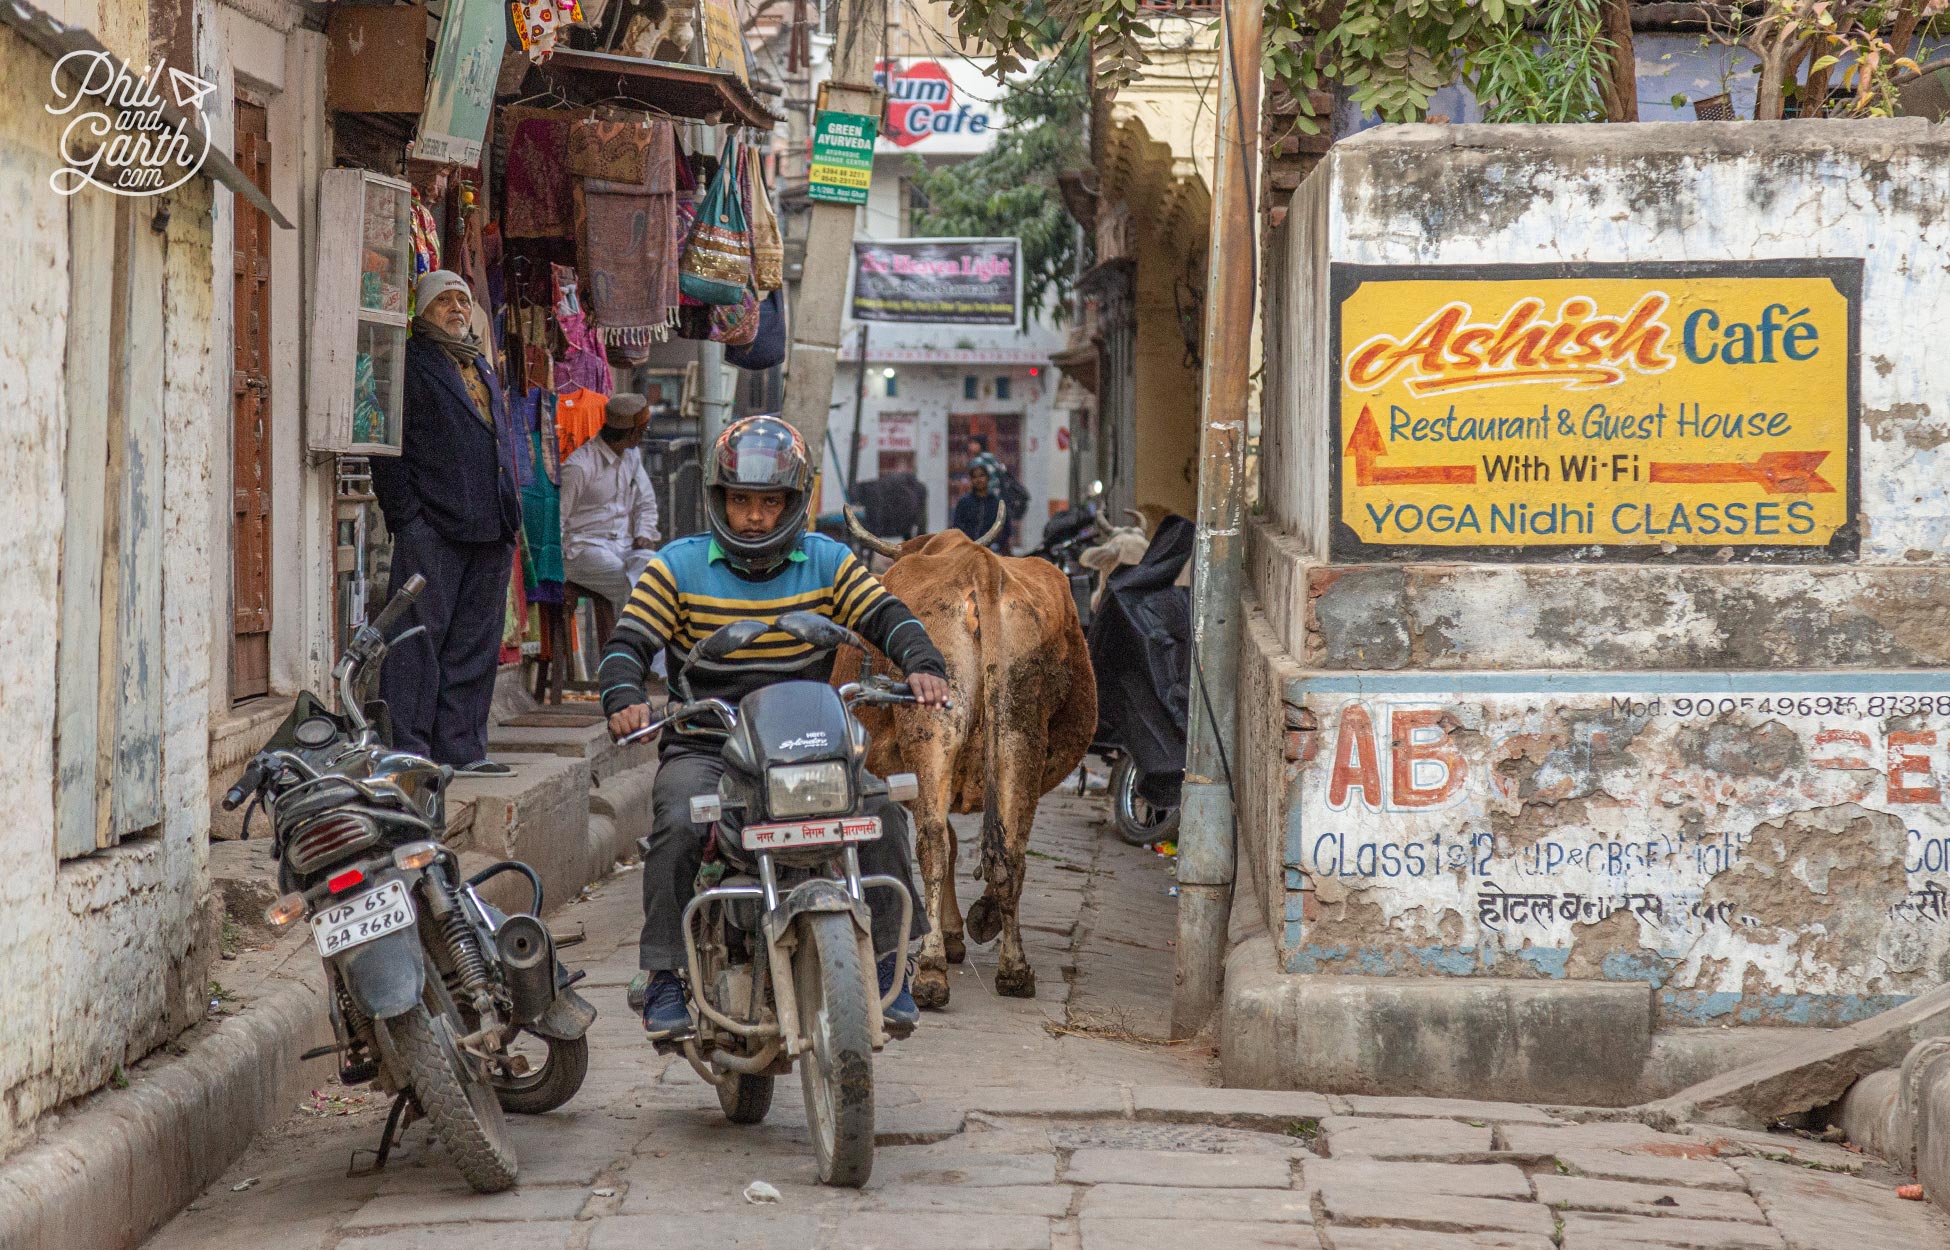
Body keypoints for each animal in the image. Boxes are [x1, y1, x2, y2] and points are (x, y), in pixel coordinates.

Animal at [838, 507, 1099, 1006]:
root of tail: (983, 568)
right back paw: (1014, 970)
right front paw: (978, 921)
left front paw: (954, 934)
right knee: (1011, 852)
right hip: (1020, 735)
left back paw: (931, 972)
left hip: (930, 732)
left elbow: (951, 843)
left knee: (934, 844)